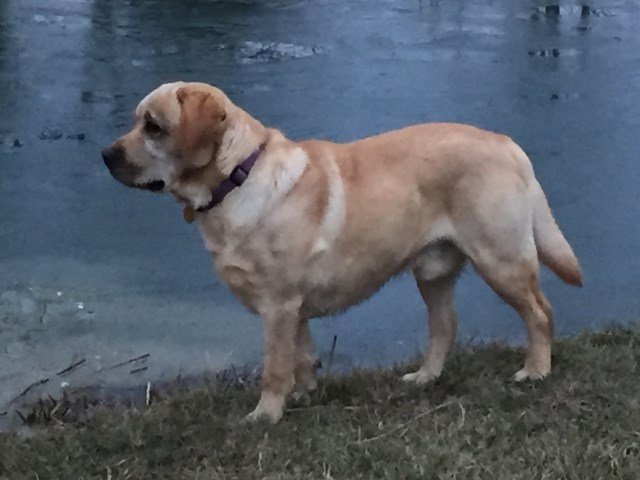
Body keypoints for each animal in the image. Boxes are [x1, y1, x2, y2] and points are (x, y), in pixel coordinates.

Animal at [102, 82, 584, 424]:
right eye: (137, 121)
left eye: (154, 126)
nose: (106, 155)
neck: (237, 179)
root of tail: (507, 143)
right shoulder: (293, 308)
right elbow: (302, 356)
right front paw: (303, 394)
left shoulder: (278, 304)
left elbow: (275, 365)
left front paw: (266, 414)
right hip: (432, 272)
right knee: (445, 326)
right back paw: (424, 377)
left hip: (500, 259)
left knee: (540, 313)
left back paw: (536, 370)